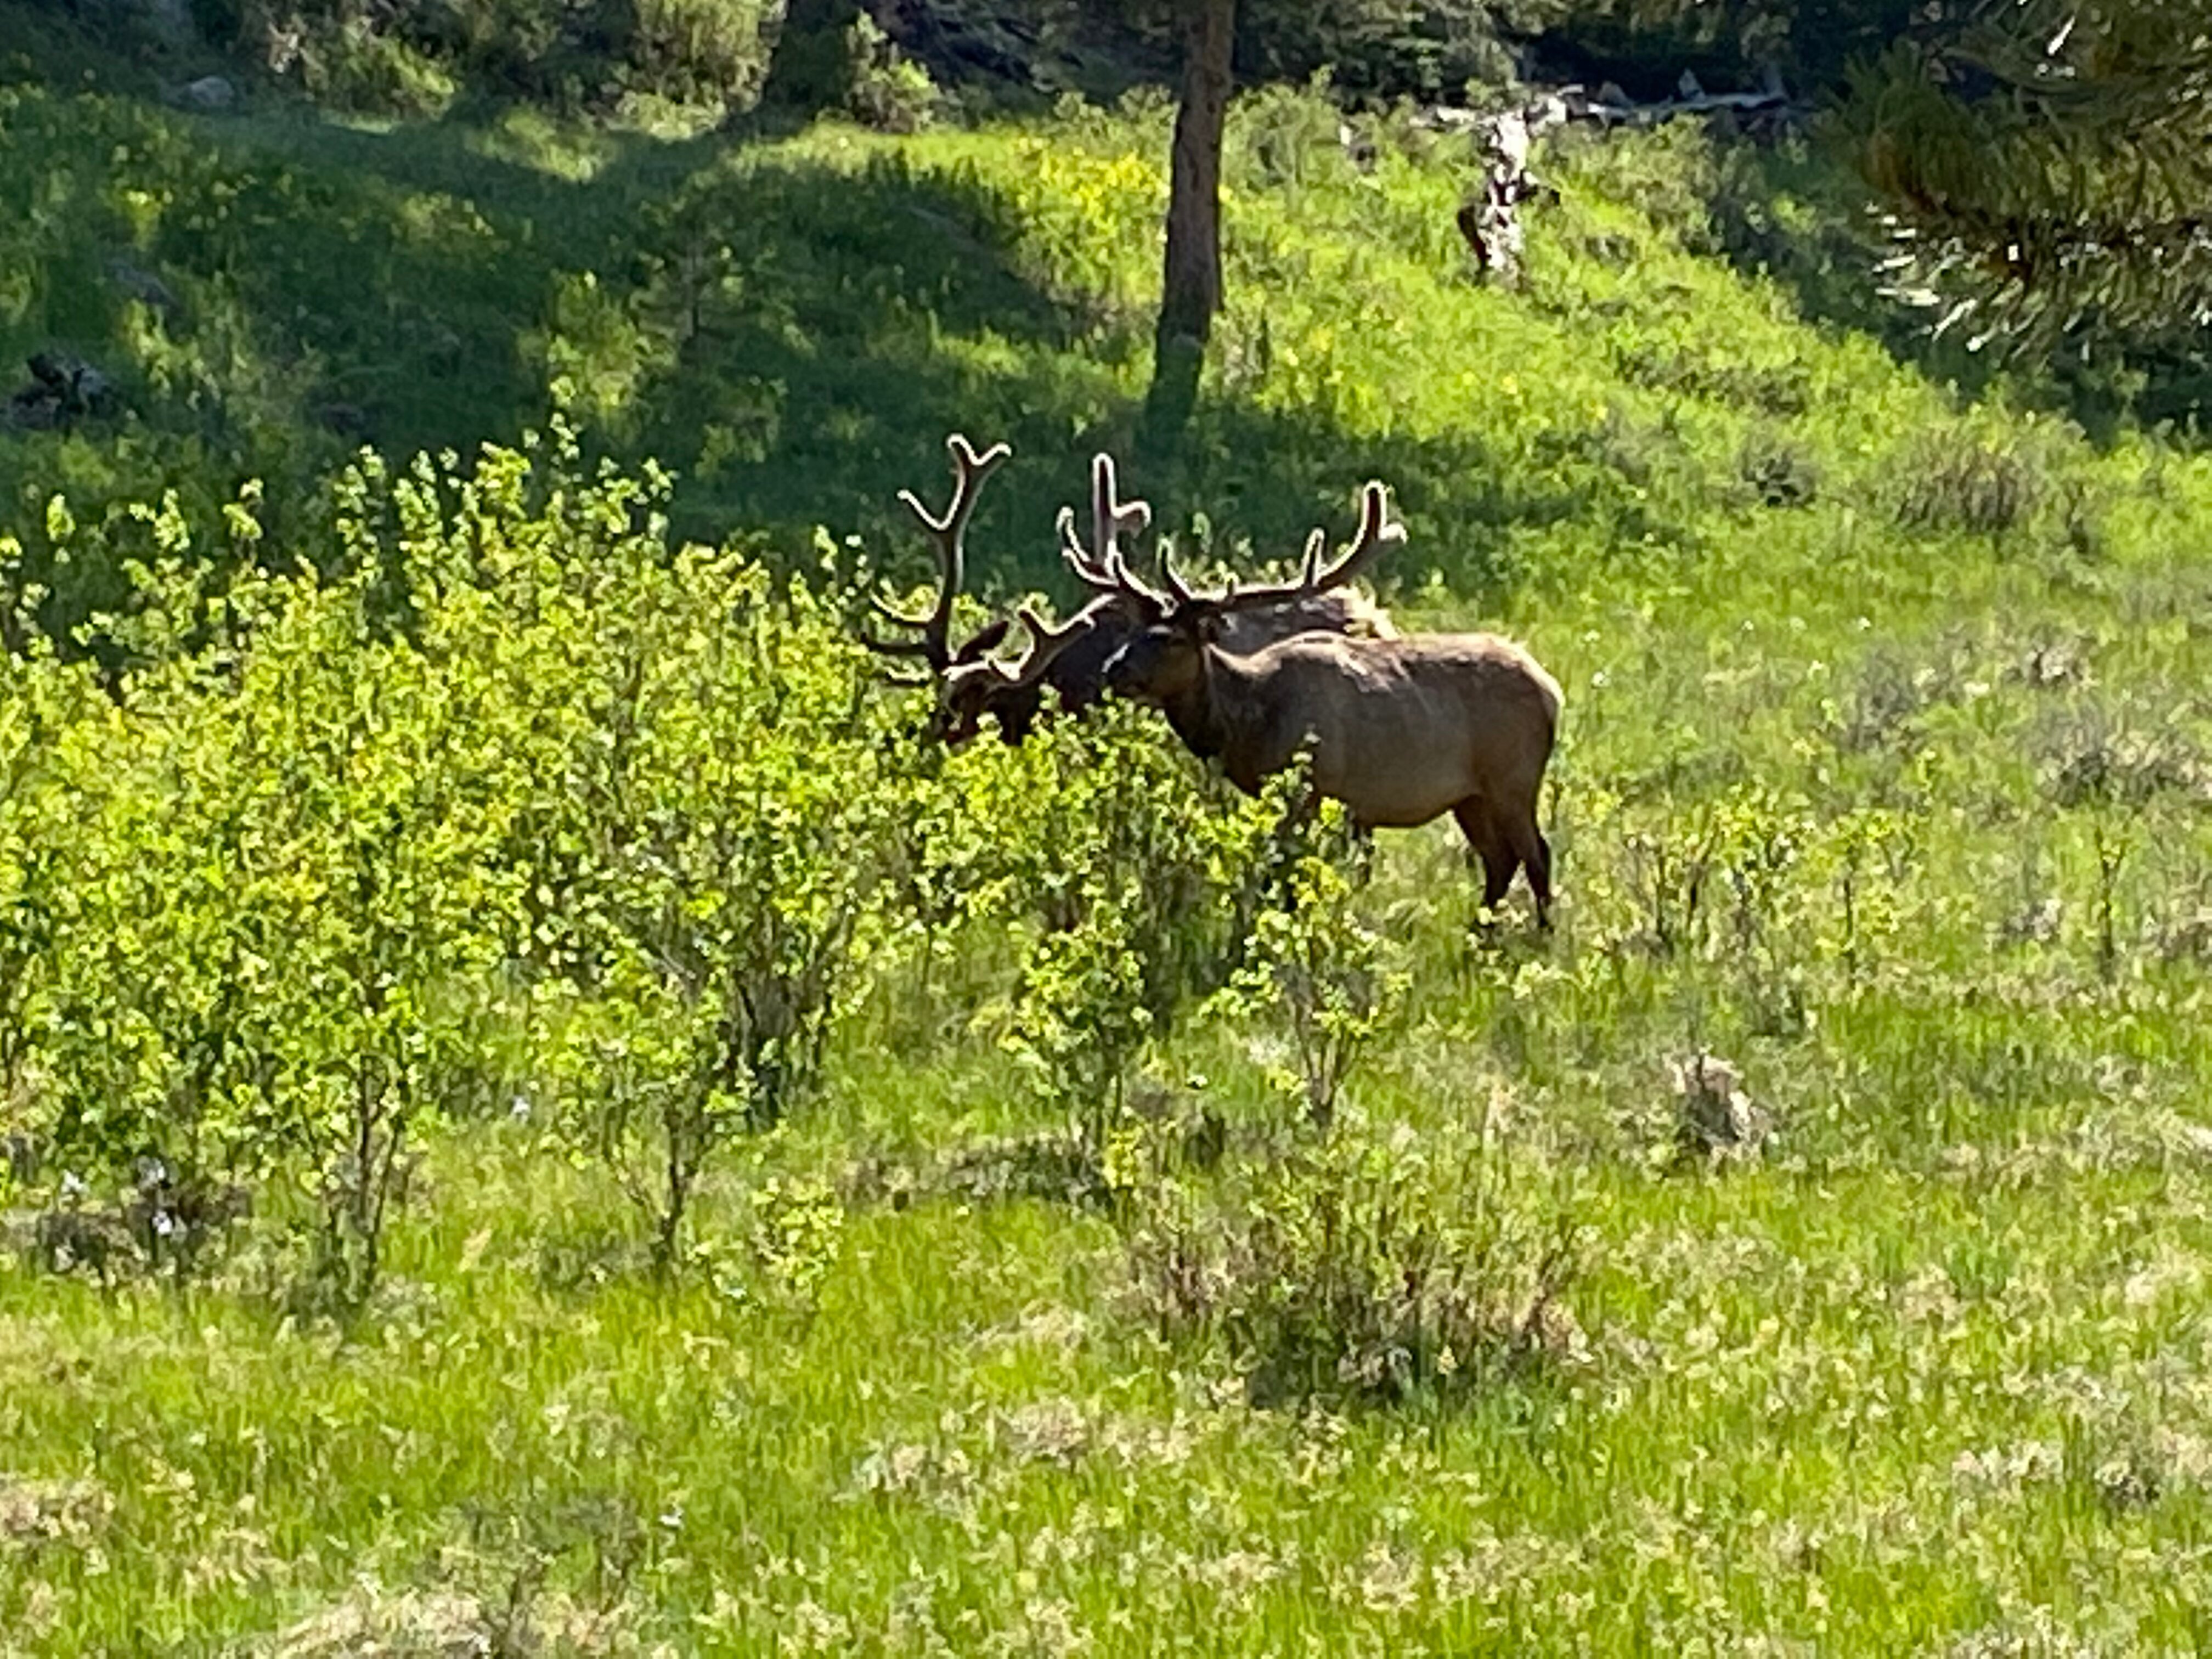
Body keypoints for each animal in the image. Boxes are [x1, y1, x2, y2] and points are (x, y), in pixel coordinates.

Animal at [1079, 473, 1566, 929]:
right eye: (1135, 630)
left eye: (1174, 639)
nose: (1113, 669)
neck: (1251, 728)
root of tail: (1552, 692)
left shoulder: (1313, 787)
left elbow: (1288, 876)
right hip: (1471, 796)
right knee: (1499, 859)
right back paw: (1480, 936)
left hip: (1514, 777)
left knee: (1537, 854)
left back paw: (1541, 937)